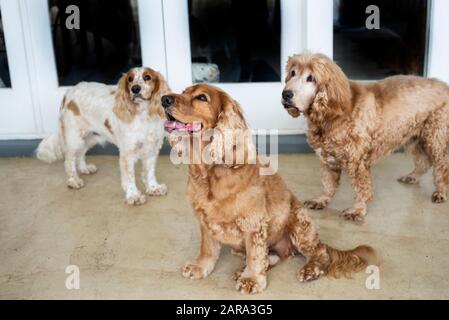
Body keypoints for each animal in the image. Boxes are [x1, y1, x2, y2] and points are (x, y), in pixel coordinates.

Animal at [36, 67, 170, 205]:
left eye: (147, 77)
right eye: (130, 79)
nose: (135, 89)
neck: (144, 115)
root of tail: (68, 92)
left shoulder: (152, 149)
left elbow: (149, 173)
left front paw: (154, 188)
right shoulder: (127, 154)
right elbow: (129, 178)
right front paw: (134, 196)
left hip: (89, 137)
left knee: (80, 154)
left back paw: (85, 168)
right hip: (74, 138)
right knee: (69, 161)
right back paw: (74, 181)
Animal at [160, 84, 374, 296]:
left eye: (201, 98)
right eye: (183, 92)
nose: (164, 99)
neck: (211, 171)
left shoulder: (253, 224)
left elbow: (255, 255)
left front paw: (252, 280)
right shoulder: (205, 220)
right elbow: (207, 248)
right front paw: (199, 267)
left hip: (299, 223)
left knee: (318, 253)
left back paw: (309, 269)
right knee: (271, 257)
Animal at [282, 53, 448, 221]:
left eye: (311, 78)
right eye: (292, 73)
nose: (285, 94)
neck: (332, 113)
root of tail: (445, 86)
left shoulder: (357, 161)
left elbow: (361, 188)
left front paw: (358, 209)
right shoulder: (327, 158)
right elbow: (328, 183)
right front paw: (322, 199)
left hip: (436, 137)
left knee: (442, 166)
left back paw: (440, 192)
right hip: (414, 136)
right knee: (424, 161)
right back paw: (412, 177)